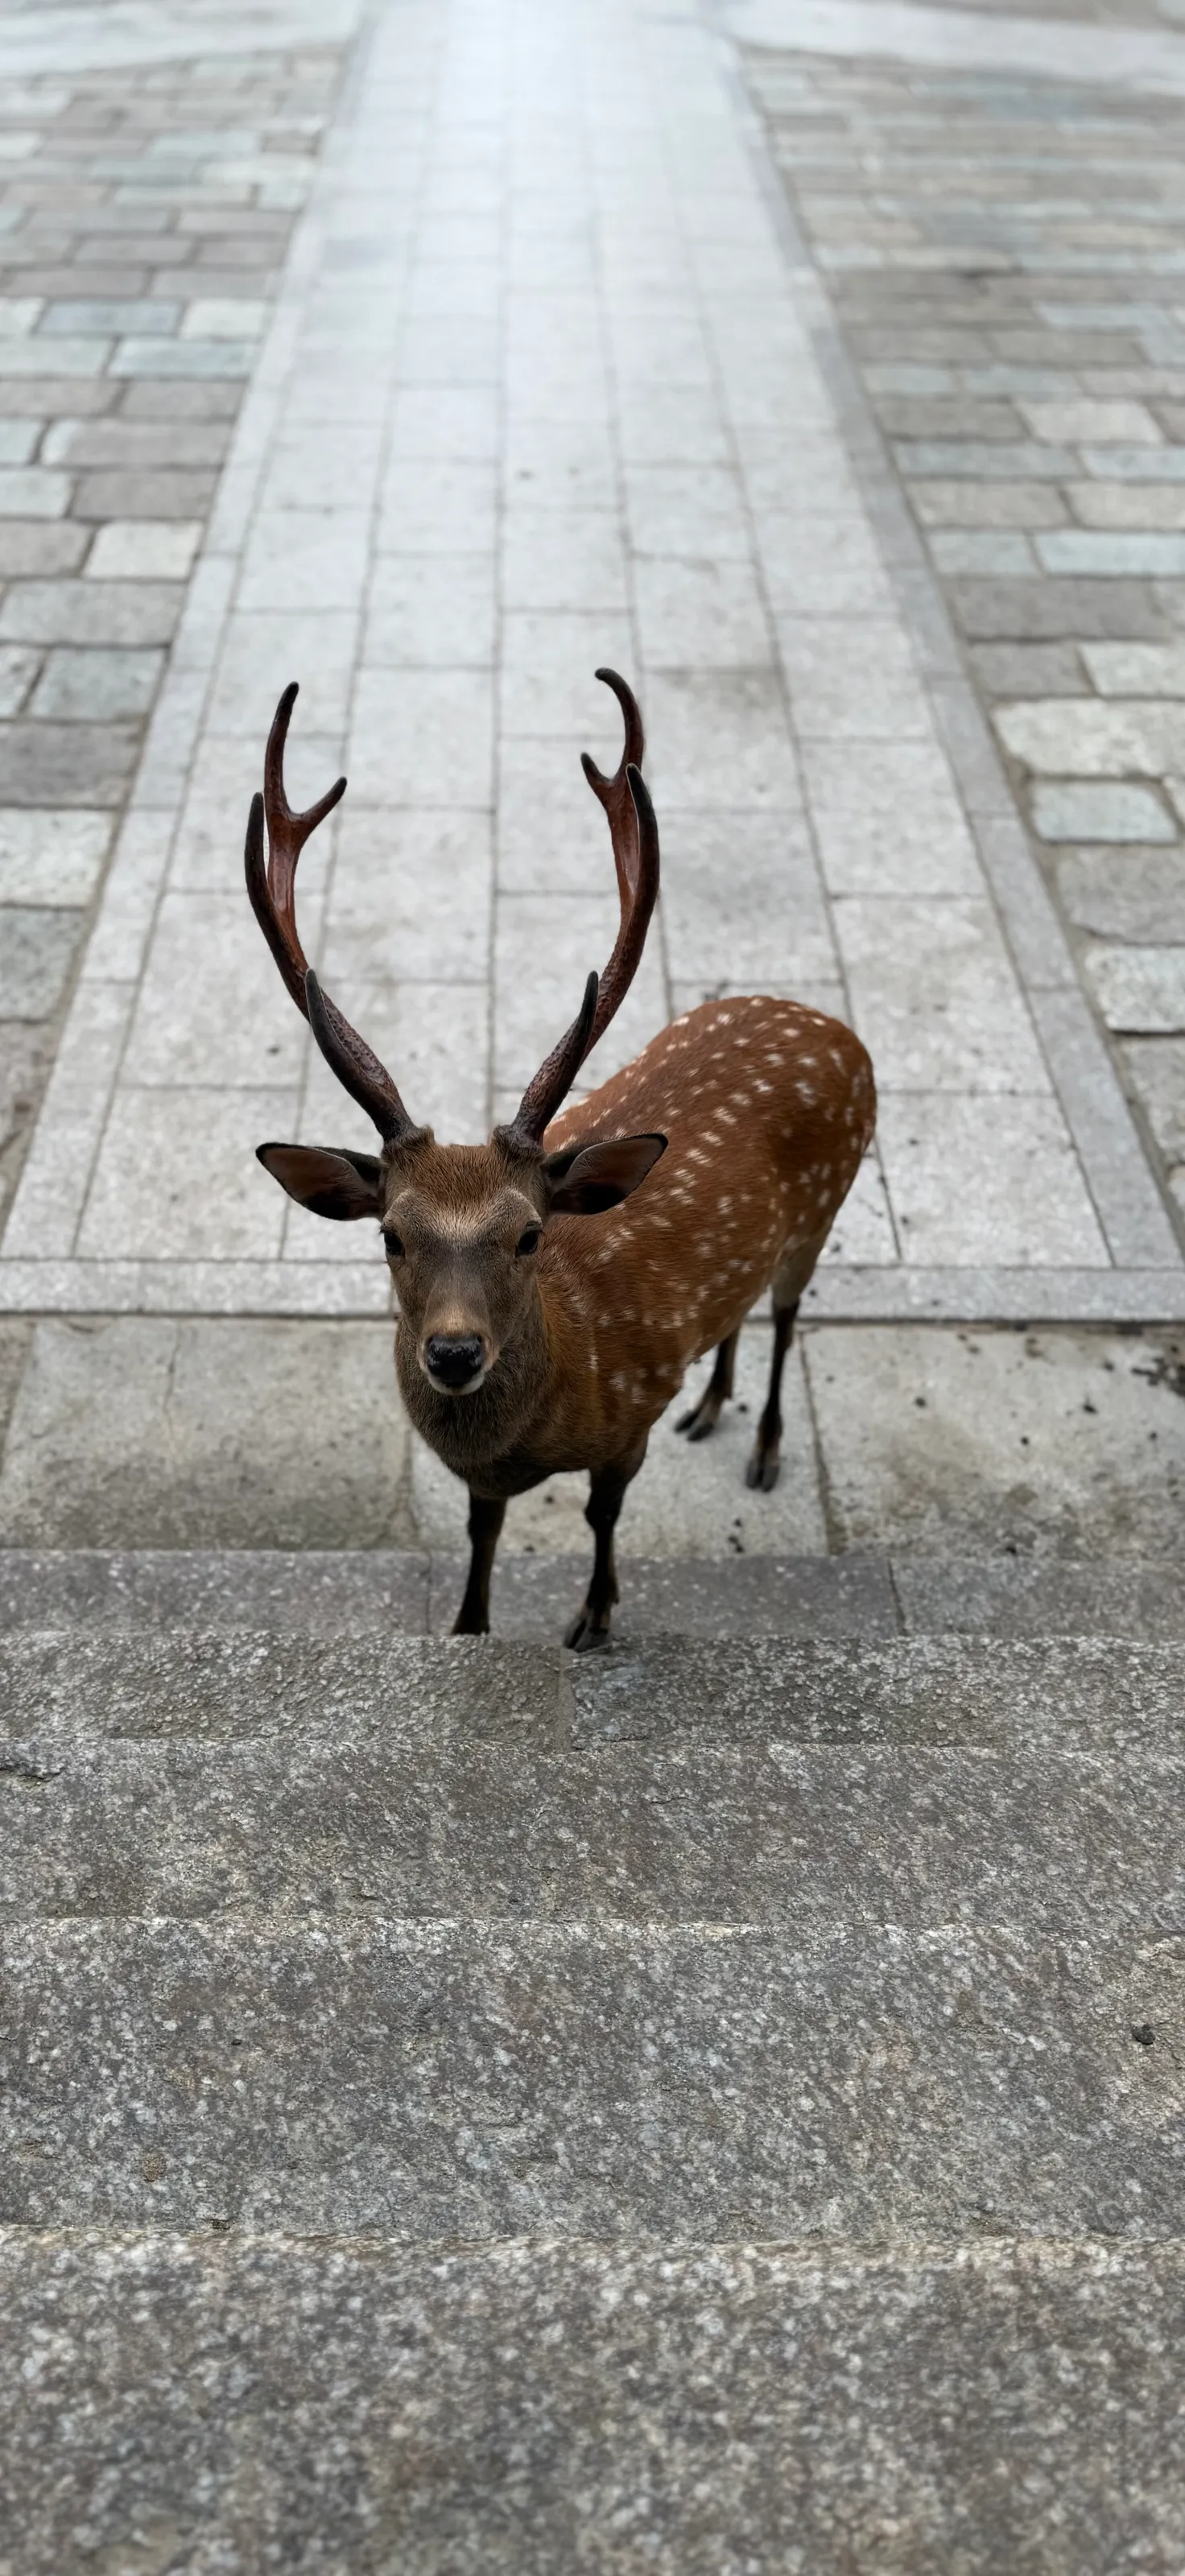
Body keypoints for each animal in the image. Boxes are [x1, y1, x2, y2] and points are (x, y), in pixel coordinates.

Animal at [247, 673, 875, 1649]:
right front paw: (469, 1626)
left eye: (530, 1235)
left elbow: (601, 1516)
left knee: (785, 1314)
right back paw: (709, 1405)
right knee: (738, 1308)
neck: (559, 1405)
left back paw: (765, 1447)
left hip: (827, 1203)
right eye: (390, 1235)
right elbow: (481, 1538)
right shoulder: (485, 1479)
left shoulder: (630, 1415)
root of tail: (832, 1026)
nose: (454, 1351)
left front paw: (594, 1615)